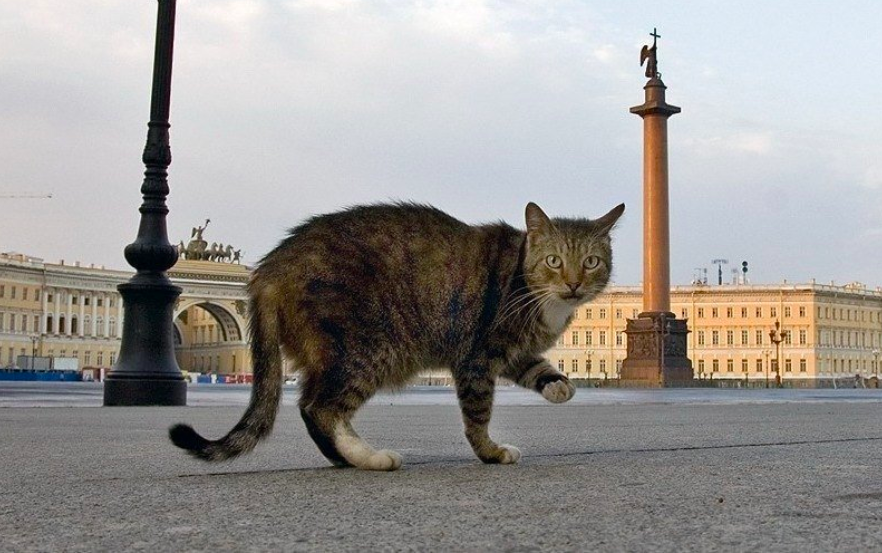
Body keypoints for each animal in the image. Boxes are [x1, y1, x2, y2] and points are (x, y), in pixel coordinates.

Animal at [170, 202, 620, 470]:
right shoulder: (477, 355)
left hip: (335, 355)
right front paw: (490, 452)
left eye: (592, 262)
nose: (575, 284)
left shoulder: (512, 352)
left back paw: (350, 457)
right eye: (554, 261)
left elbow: (537, 369)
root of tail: (269, 267)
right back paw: (369, 458)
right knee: (320, 408)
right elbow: (478, 415)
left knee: (316, 408)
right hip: (369, 350)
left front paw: (560, 386)